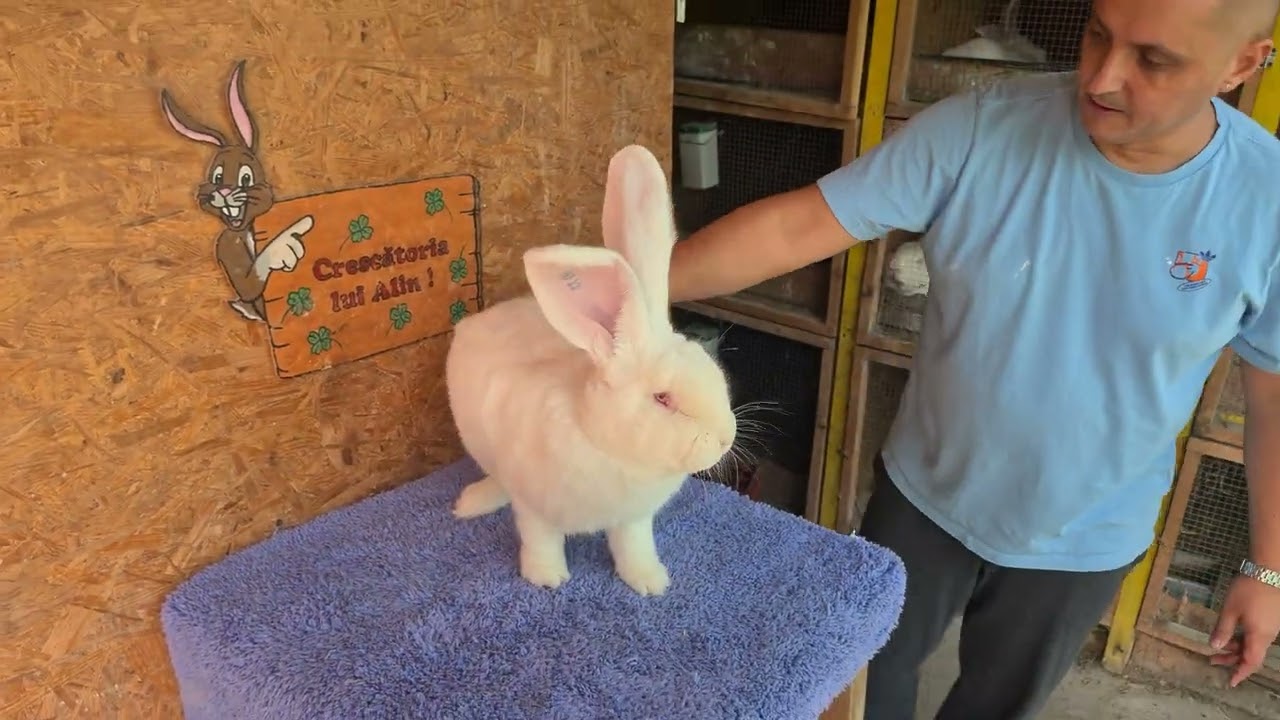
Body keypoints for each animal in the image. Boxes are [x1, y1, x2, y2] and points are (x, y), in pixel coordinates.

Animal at [159, 60, 313, 323]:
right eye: (217, 177)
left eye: (246, 178)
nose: (223, 191)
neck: (246, 228)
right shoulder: (226, 244)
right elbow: (248, 284)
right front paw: (283, 248)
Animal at [445, 144, 738, 597]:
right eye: (663, 399)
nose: (726, 439)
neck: (606, 444)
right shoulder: (536, 508)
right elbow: (539, 539)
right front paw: (546, 577)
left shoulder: (633, 518)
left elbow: (633, 545)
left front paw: (649, 581)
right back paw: (474, 502)